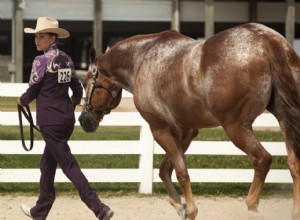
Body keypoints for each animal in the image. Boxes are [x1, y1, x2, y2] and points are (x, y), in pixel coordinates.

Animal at [79, 22, 300, 220]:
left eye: (87, 82)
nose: (83, 120)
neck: (142, 59)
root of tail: (267, 39)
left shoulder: (159, 129)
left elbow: (180, 172)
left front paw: (189, 209)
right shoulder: (186, 132)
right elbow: (165, 170)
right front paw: (180, 206)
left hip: (236, 127)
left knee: (262, 159)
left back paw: (252, 207)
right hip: (284, 119)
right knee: (293, 162)